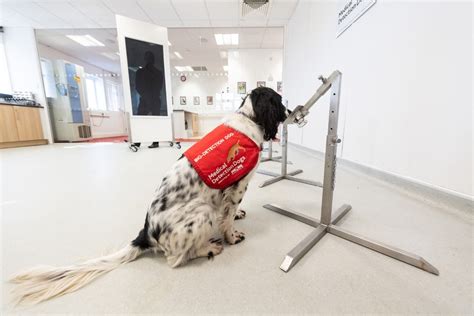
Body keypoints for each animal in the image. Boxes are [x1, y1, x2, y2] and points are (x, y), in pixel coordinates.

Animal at [11, 86, 288, 304]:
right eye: (280, 100)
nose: (288, 113)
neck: (249, 117)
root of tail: (145, 234)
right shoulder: (239, 184)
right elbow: (227, 216)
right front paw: (232, 236)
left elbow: (230, 211)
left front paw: (239, 216)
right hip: (202, 212)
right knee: (175, 259)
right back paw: (209, 248)